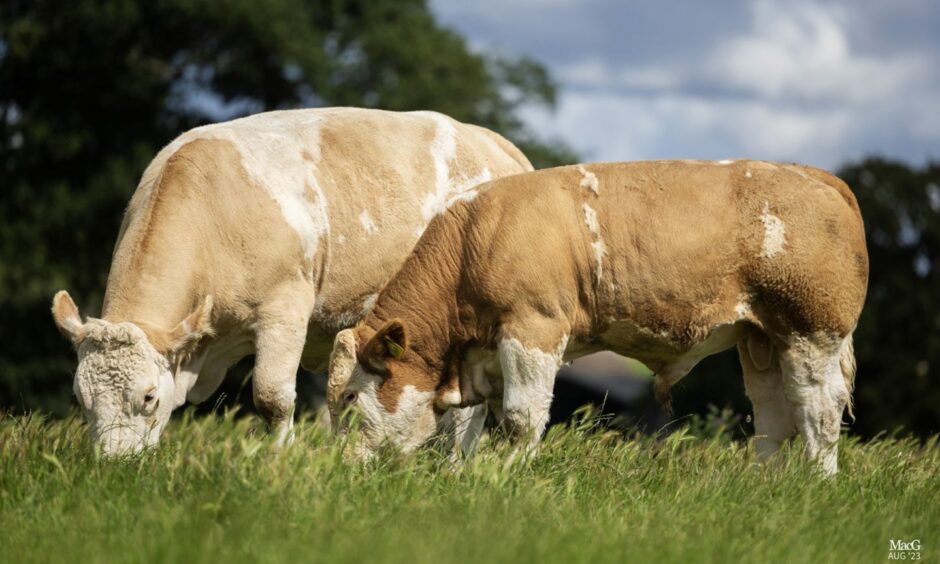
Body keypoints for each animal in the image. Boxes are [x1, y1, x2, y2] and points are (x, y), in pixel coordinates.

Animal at [55, 108, 532, 456]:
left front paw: (279, 459)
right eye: (81, 399)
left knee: (470, 410)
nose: (114, 466)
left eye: (148, 397)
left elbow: (272, 397)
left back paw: (456, 463)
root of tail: (494, 143)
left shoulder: (283, 310)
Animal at [328, 161, 868, 474]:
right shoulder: (488, 353)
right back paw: (763, 485)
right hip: (761, 341)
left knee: (818, 414)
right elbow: (482, 422)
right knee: (773, 417)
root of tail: (819, 176)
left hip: (811, 333)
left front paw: (508, 478)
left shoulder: (533, 329)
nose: (341, 468)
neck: (472, 242)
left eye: (351, 397)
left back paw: (818, 485)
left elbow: (522, 418)